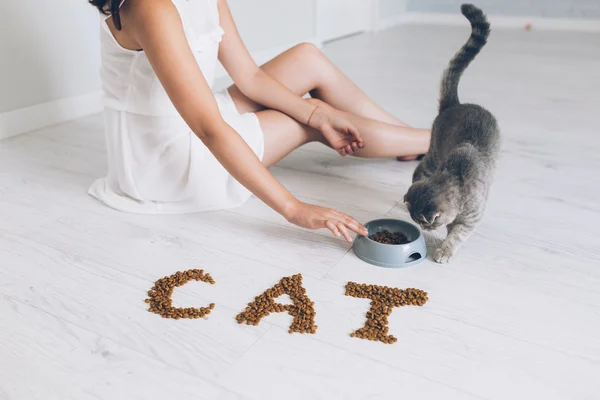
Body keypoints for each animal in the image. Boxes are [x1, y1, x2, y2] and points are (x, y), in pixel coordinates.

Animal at [406, 4, 500, 264]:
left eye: (424, 223)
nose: (423, 227)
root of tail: (456, 104)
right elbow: (452, 230)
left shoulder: (471, 219)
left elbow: (457, 235)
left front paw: (445, 249)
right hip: (434, 154)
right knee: (417, 172)